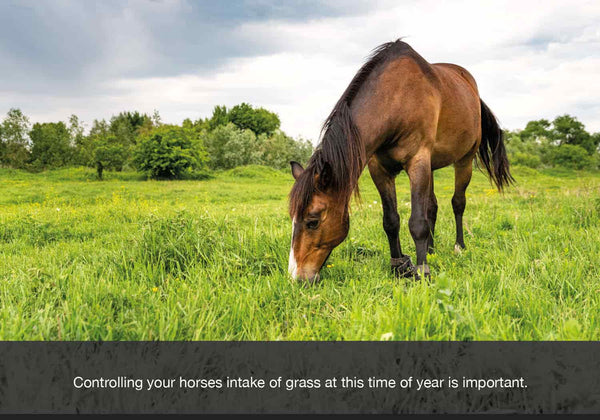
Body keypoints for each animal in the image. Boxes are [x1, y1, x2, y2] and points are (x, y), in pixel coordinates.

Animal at [288, 39, 512, 284]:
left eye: (313, 221)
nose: (297, 276)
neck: (396, 99)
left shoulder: (417, 162)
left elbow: (417, 222)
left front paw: (422, 271)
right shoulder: (380, 169)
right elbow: (391, 221)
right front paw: (399, 266)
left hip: (464, 160)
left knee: (458, 203)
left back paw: (458, 247)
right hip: (432, 167)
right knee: (432, 206)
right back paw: (431, 251)